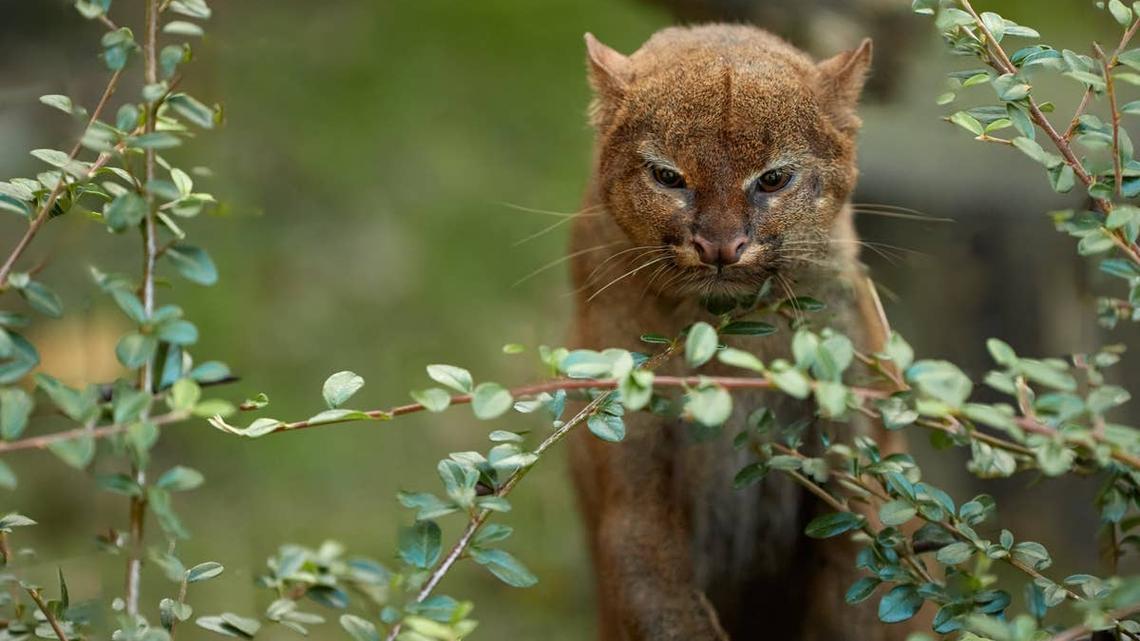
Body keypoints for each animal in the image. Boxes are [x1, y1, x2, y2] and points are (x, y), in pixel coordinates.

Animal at [566, 25, 915, 640]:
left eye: (773, 179)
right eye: (668, 176)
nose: (721, 246)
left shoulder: (857, 458)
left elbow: (864, 593)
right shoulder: (633, 484)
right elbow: (657, 595)